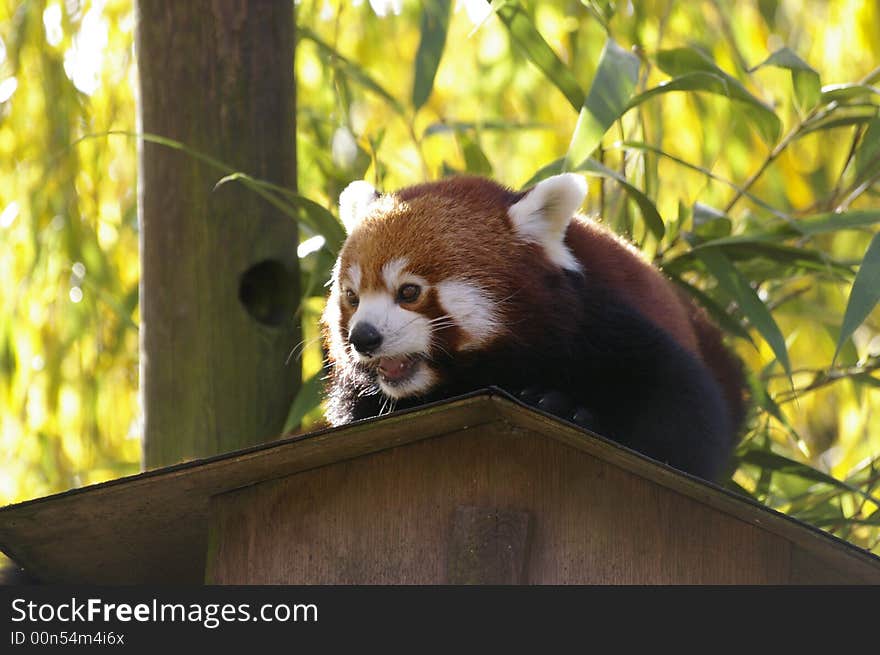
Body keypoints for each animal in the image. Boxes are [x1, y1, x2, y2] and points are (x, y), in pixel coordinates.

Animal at [320, 174, 744, 482]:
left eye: (409, 291)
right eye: (352, 296)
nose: (364, 337)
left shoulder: (599, 325)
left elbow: (685, 420)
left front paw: (564, 407)